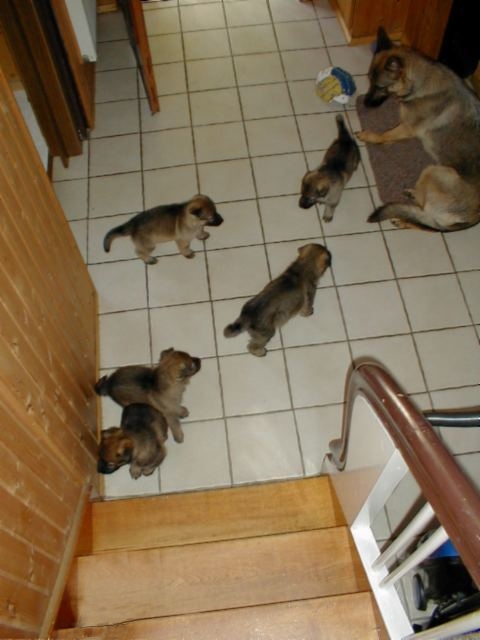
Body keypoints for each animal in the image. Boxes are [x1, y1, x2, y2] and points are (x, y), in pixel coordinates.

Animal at [358, 26, 480, 232]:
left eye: (380, 86)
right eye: (369, 80)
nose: (365, 104)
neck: (421, 83)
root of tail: (472, 218)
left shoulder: (408, 128)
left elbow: (383, 135)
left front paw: (370, 136)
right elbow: (389, 135)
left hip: (434, 171)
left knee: (423, 212)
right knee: (425, 224)